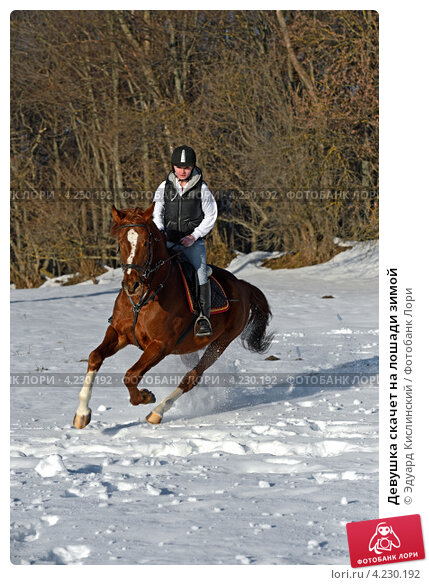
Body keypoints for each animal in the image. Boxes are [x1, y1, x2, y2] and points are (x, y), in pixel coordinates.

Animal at [72, 205, 270, 428]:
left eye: (146, 242)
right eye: (121, 242)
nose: (132, 285)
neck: (142, 300)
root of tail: (242, 286)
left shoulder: (160, 345)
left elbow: (131, 376)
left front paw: (145, 396)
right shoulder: (118, 334)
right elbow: (95, 357)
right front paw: (82, 414)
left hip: (221, 342)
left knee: (192, 377)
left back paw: (157, 412)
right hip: (187, 348)